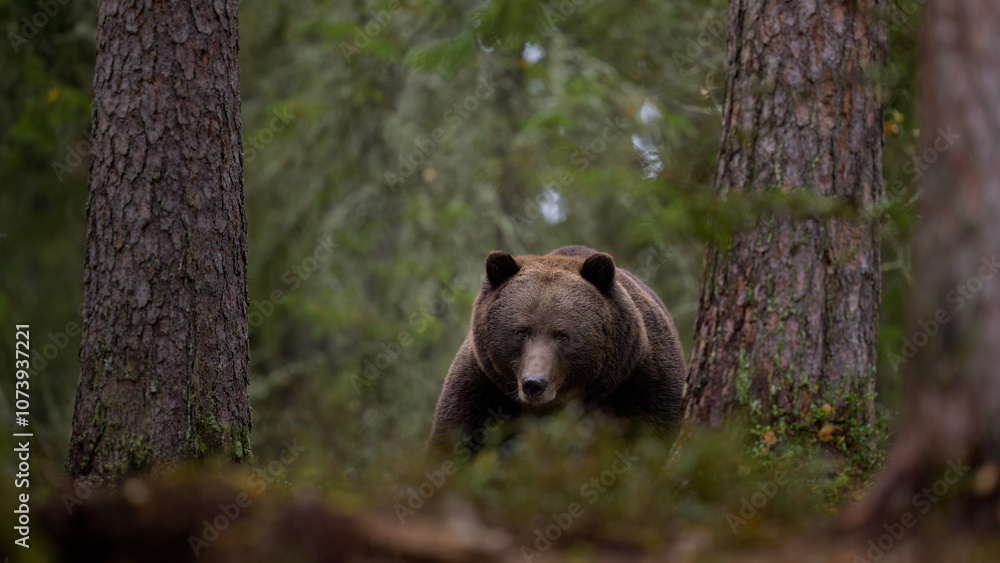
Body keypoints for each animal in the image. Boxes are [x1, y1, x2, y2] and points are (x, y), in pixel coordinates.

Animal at [428, 245, 686, 454]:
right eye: (521, 332)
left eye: (563, 336)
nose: (533, 384)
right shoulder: (484, 386)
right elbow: (455, 438)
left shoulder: (639, 380)